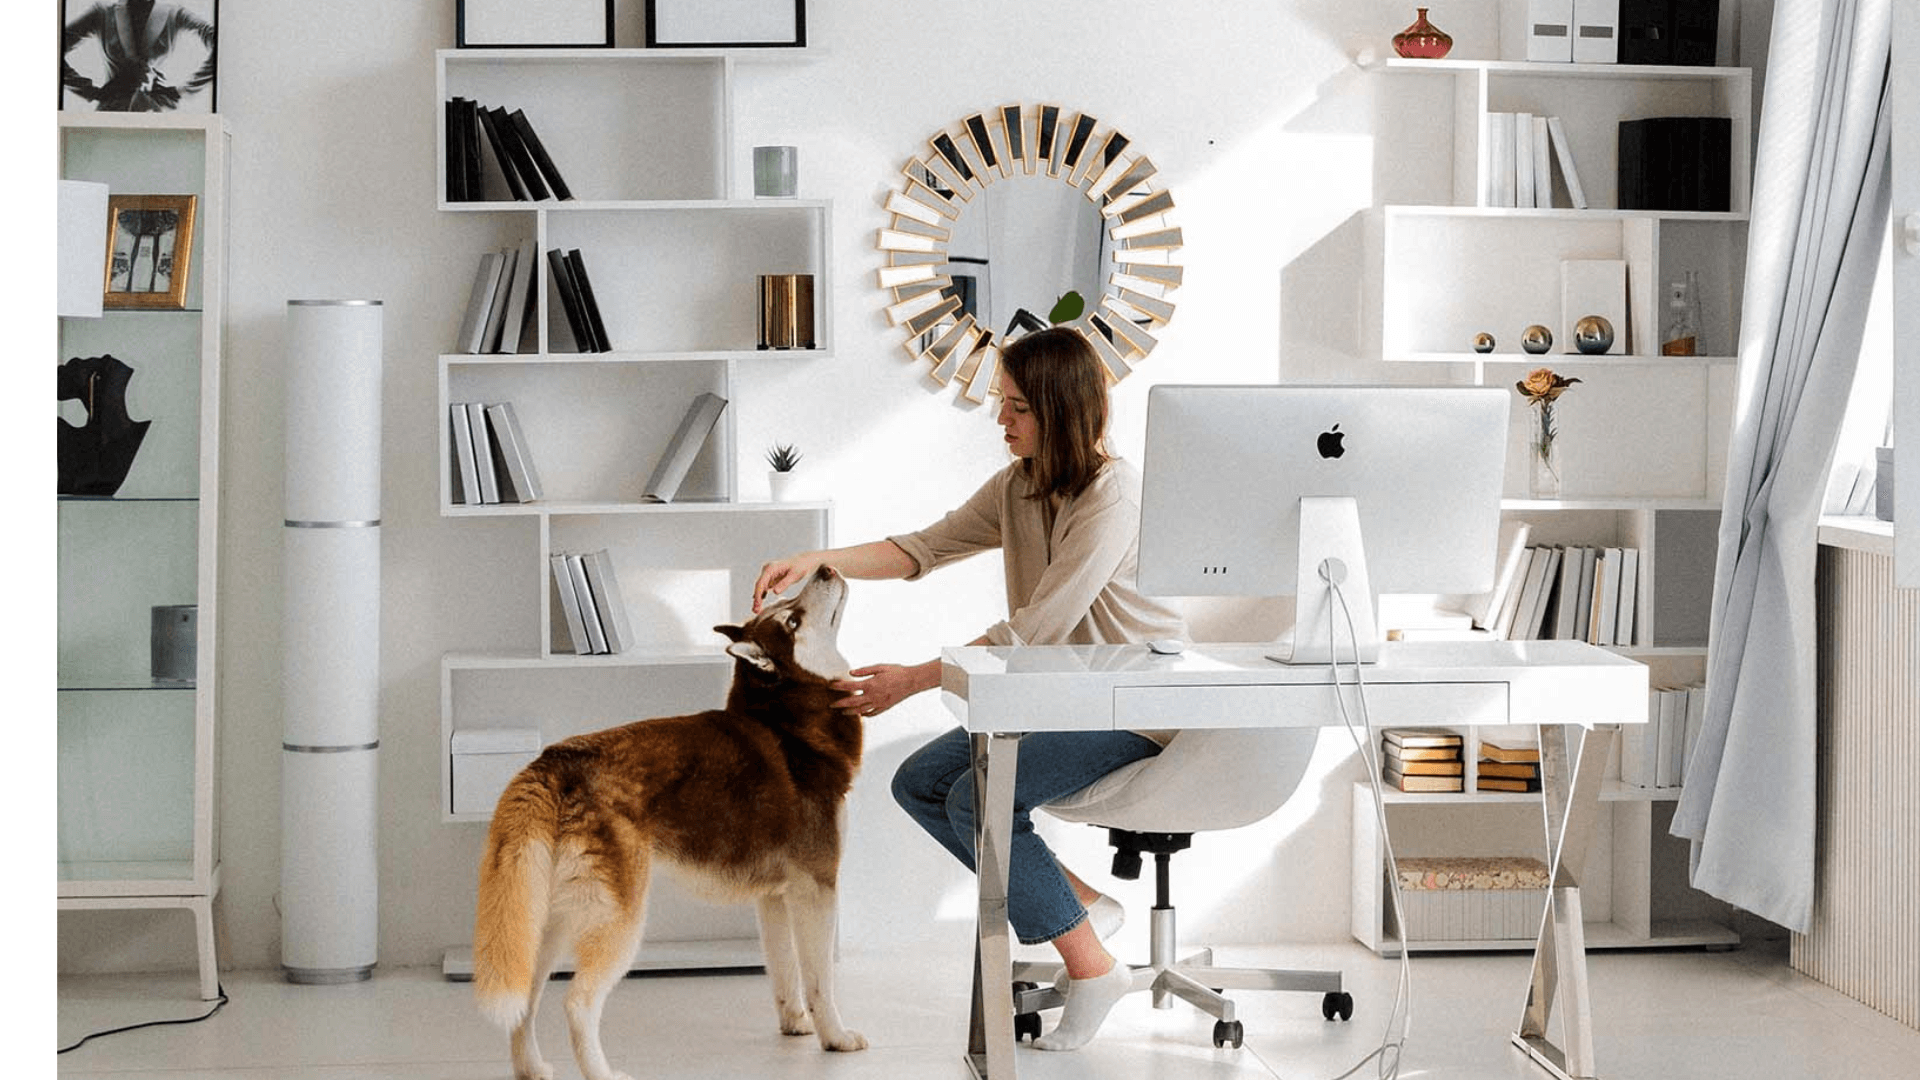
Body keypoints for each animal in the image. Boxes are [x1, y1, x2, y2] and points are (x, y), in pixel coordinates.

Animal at [472, 564, 871, 1076]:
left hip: (554, 918)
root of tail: (558, 759)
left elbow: (784, 971)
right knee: (578, 1003)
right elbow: (821, 979)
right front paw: (834, 1036)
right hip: (619, 919)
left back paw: (531, 1069)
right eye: (792, 620)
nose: (823, 567)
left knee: (527, 995)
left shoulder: (775, 898)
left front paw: (795, 1023)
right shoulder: (816, 886)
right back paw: (602, 1072)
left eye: (787, 605)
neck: (791, 725)